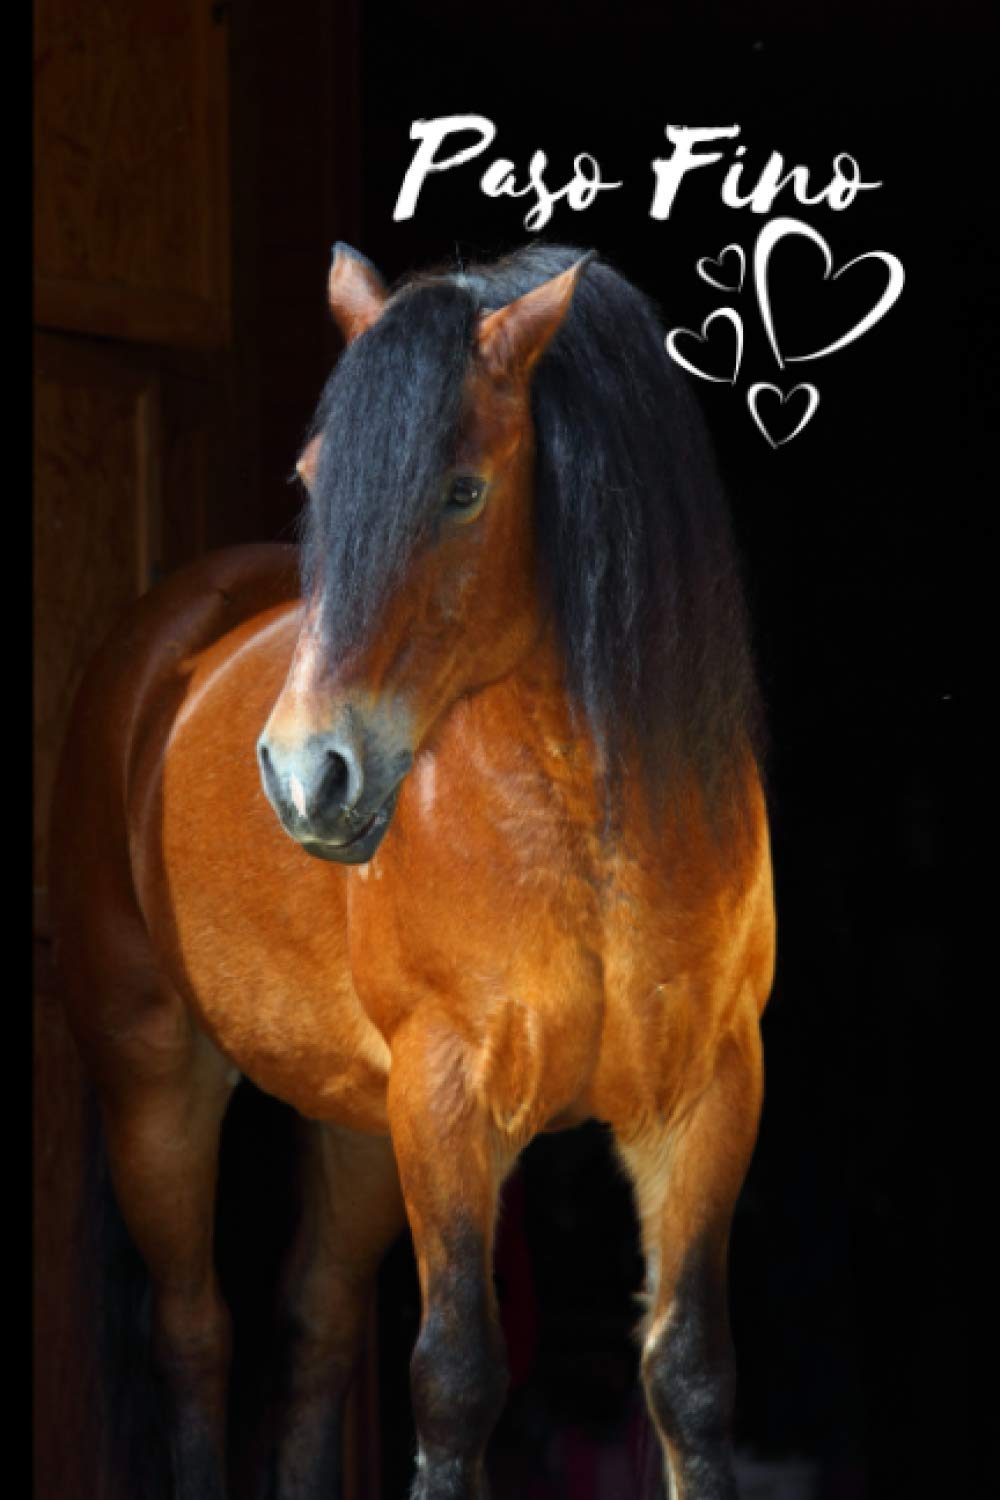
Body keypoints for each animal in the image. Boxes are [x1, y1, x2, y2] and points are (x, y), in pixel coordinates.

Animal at [49, 240, 775, 1500]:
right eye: (313, 476)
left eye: (463, 491)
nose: (306, 776)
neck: (587, 829)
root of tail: (160, 645)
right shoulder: (447, 1101)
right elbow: (455, 1380)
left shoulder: (706, 1098)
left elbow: (687, 1375)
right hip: (157, 1081)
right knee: (194, 1335)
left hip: (351, 1124)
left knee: (315, 1332)